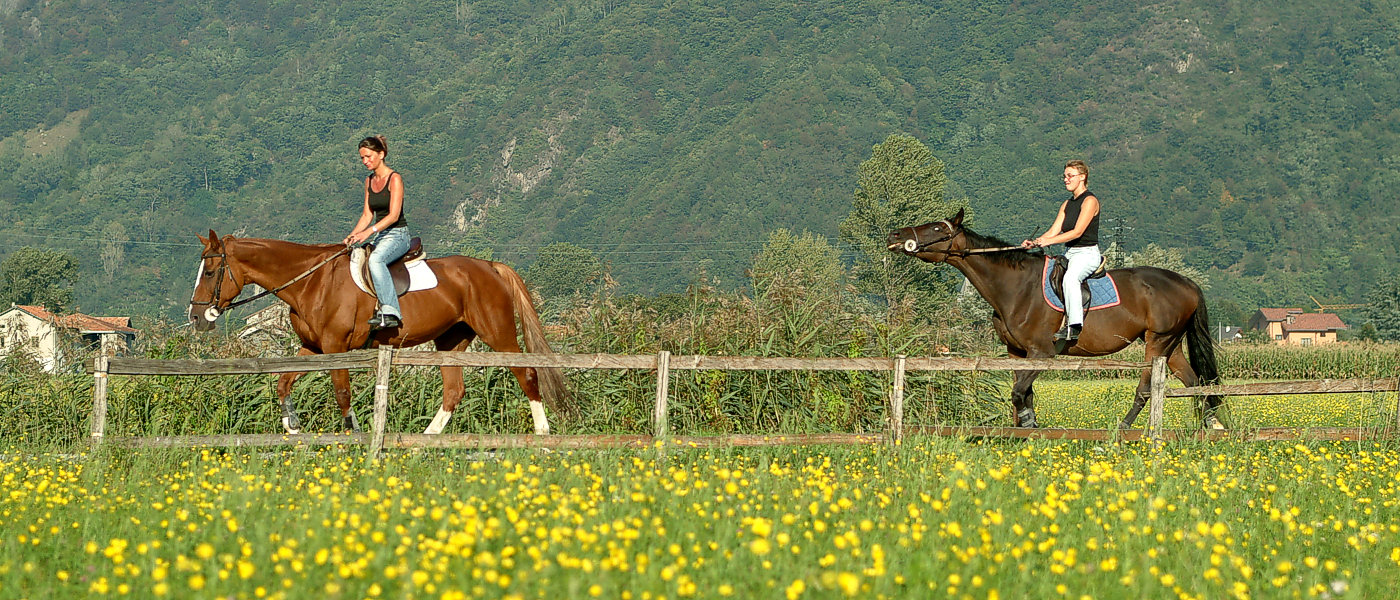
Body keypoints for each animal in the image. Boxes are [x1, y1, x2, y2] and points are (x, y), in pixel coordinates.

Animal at [187, 230, 568, 433]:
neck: (312, 282)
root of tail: (490, 266)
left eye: (210, 272)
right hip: (451, 340)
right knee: (454, 391)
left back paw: (542, 434)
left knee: (527, 374)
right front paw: (291, 425)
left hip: (498, 332)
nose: (196, 317)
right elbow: (283, 383)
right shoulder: (313, 347)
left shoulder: (335, 347)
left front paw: (353, 433)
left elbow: (342, 393)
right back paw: (425, 440)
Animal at [884, 208, 1226, 427]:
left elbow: (1019, 393)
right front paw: (1025, 426)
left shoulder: (1042, 352)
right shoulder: (1017, 352)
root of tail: (1187, 282)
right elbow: (1024, 393)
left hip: (1158, 342)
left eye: (937, 228)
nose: (895, 234)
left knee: (1146, 389)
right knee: (1195, 383)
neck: (1016, 286)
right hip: (1172, 345)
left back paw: (1124, 428)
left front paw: (1028, 423)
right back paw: (1211, 427)